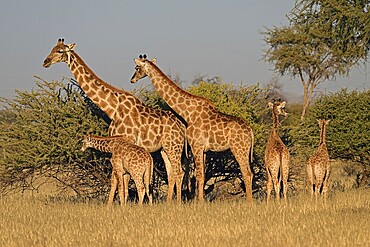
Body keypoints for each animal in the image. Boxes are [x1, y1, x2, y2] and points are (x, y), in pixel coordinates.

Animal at [43, 38, 186, 204]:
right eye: (52, 48)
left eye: (60, 51)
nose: (45, 62)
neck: (112, 109)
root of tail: (182, 126)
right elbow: (117, 181)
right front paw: (115, 204)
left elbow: (119, 180)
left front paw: (117, 204)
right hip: (165, 148)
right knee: (171, 173)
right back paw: (169, 203)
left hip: (174, 147)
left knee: (179, 172)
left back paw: (178, 203)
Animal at [130, 54, 254, 203]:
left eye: (137, 67)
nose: (132, 79)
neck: (187, 112)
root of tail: (250, 131)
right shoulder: (204, 150)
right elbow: (202, 175)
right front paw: (200, 201)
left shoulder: (196, 146)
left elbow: (199, 175)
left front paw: (200, 203)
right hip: (244, 150)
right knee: (250, 173)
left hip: (239, 149)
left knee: (246, 173)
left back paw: (249, 202)